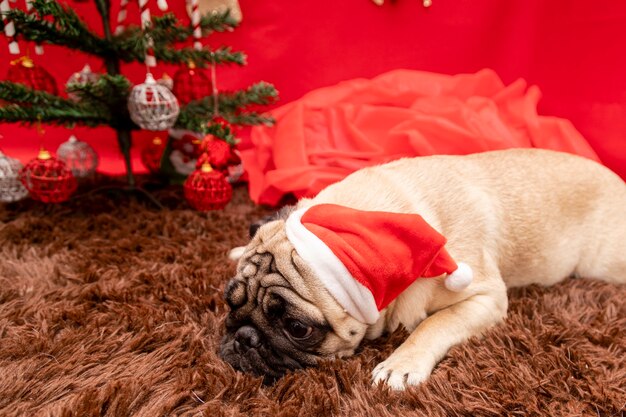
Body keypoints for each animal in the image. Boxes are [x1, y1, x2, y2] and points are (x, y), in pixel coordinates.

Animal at [218, 148, 620, 388]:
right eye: (228, 302)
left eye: (297, 328)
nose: (243, 337)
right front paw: (238, 248)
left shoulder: (485, 297)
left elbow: (434, 323)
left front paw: (400, 364)